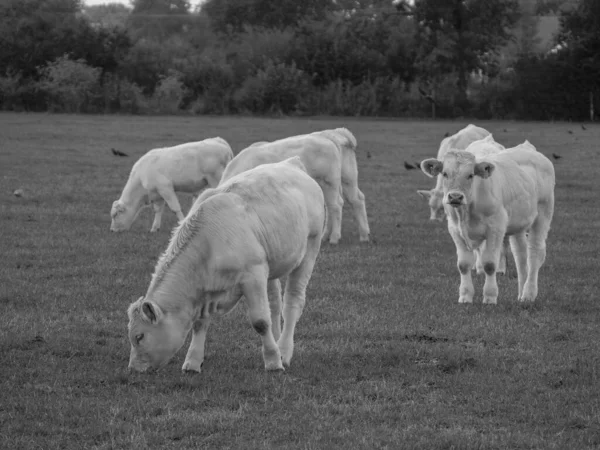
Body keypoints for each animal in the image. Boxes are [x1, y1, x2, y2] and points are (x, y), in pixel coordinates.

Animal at [124, 156, 326, 374]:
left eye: (139, 336)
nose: (133, 368)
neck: (210, 243)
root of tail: (291, 162)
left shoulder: (253, 276)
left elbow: (261, 322)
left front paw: (273, 362)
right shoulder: (207, 292)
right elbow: (200, 323)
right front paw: (193, 362)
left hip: (309, 250)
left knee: (292, 303)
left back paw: (284, 351)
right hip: (272, 265)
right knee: (274, 304)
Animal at [420, 139, 556, 304]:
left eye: (471, 175)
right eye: (445, 173)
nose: (455, 197)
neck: (466, 211)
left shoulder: (496, 228)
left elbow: (490, 264)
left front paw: (490, 297)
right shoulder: (454, 230)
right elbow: (463, 265)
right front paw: (465, 296)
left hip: (543, 214)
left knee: (535, 253)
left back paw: (528, 294)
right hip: (518, 223)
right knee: (520, 255)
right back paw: (521, 294)